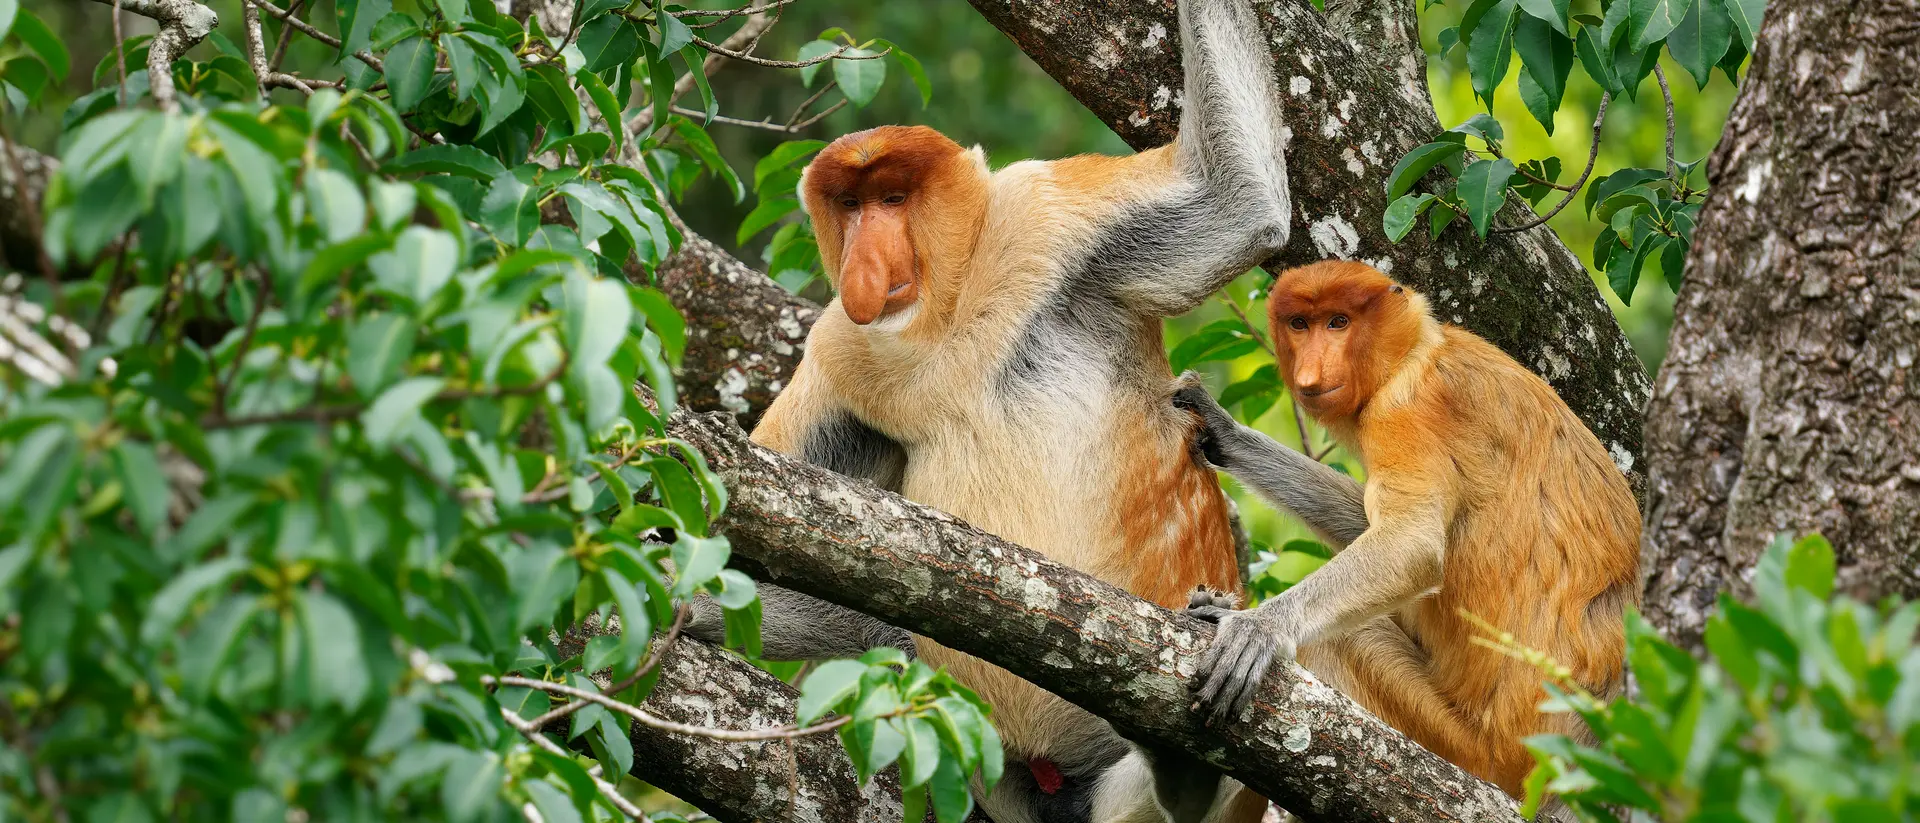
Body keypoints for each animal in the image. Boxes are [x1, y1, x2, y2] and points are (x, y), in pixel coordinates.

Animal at [677, 1, 1374, 819]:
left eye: (892, 199)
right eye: (848, 206)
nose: (864, 263)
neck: (946, 322)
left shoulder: (1046, 218)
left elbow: (1236, 206)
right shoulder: (840, 355)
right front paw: (691, 602)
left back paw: (1189, 759)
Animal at [1172, 260, 1642, 798]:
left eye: (1338, 322)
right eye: (1300, 325)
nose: (1311, 370)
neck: (1417, 349)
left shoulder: (1404, 411)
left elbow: (1409, 545)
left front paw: (1256, 629)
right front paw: (1220, 428)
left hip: (1474, 748)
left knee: (1341, 640)